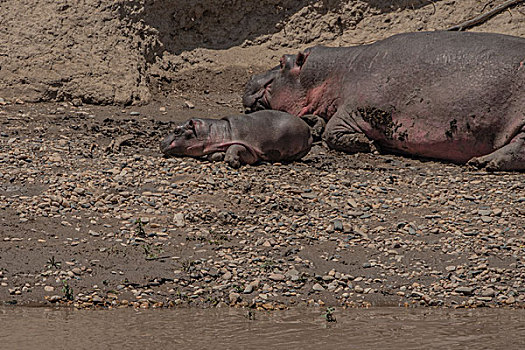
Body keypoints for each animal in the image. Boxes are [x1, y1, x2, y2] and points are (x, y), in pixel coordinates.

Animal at [160, 110, 312, 168]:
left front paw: (232, 161)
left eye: (176, 131)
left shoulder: (249, 146)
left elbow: (236, 147)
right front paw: (218, 155)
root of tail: (309, 130)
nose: (161, 142)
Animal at [244, 31, 524, 171]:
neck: (329, 73)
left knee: (519, 148)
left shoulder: (353, 108)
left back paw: (481, 163)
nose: (251, 77)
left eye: (281, 61)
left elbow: (332, 132)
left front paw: (369, 145)